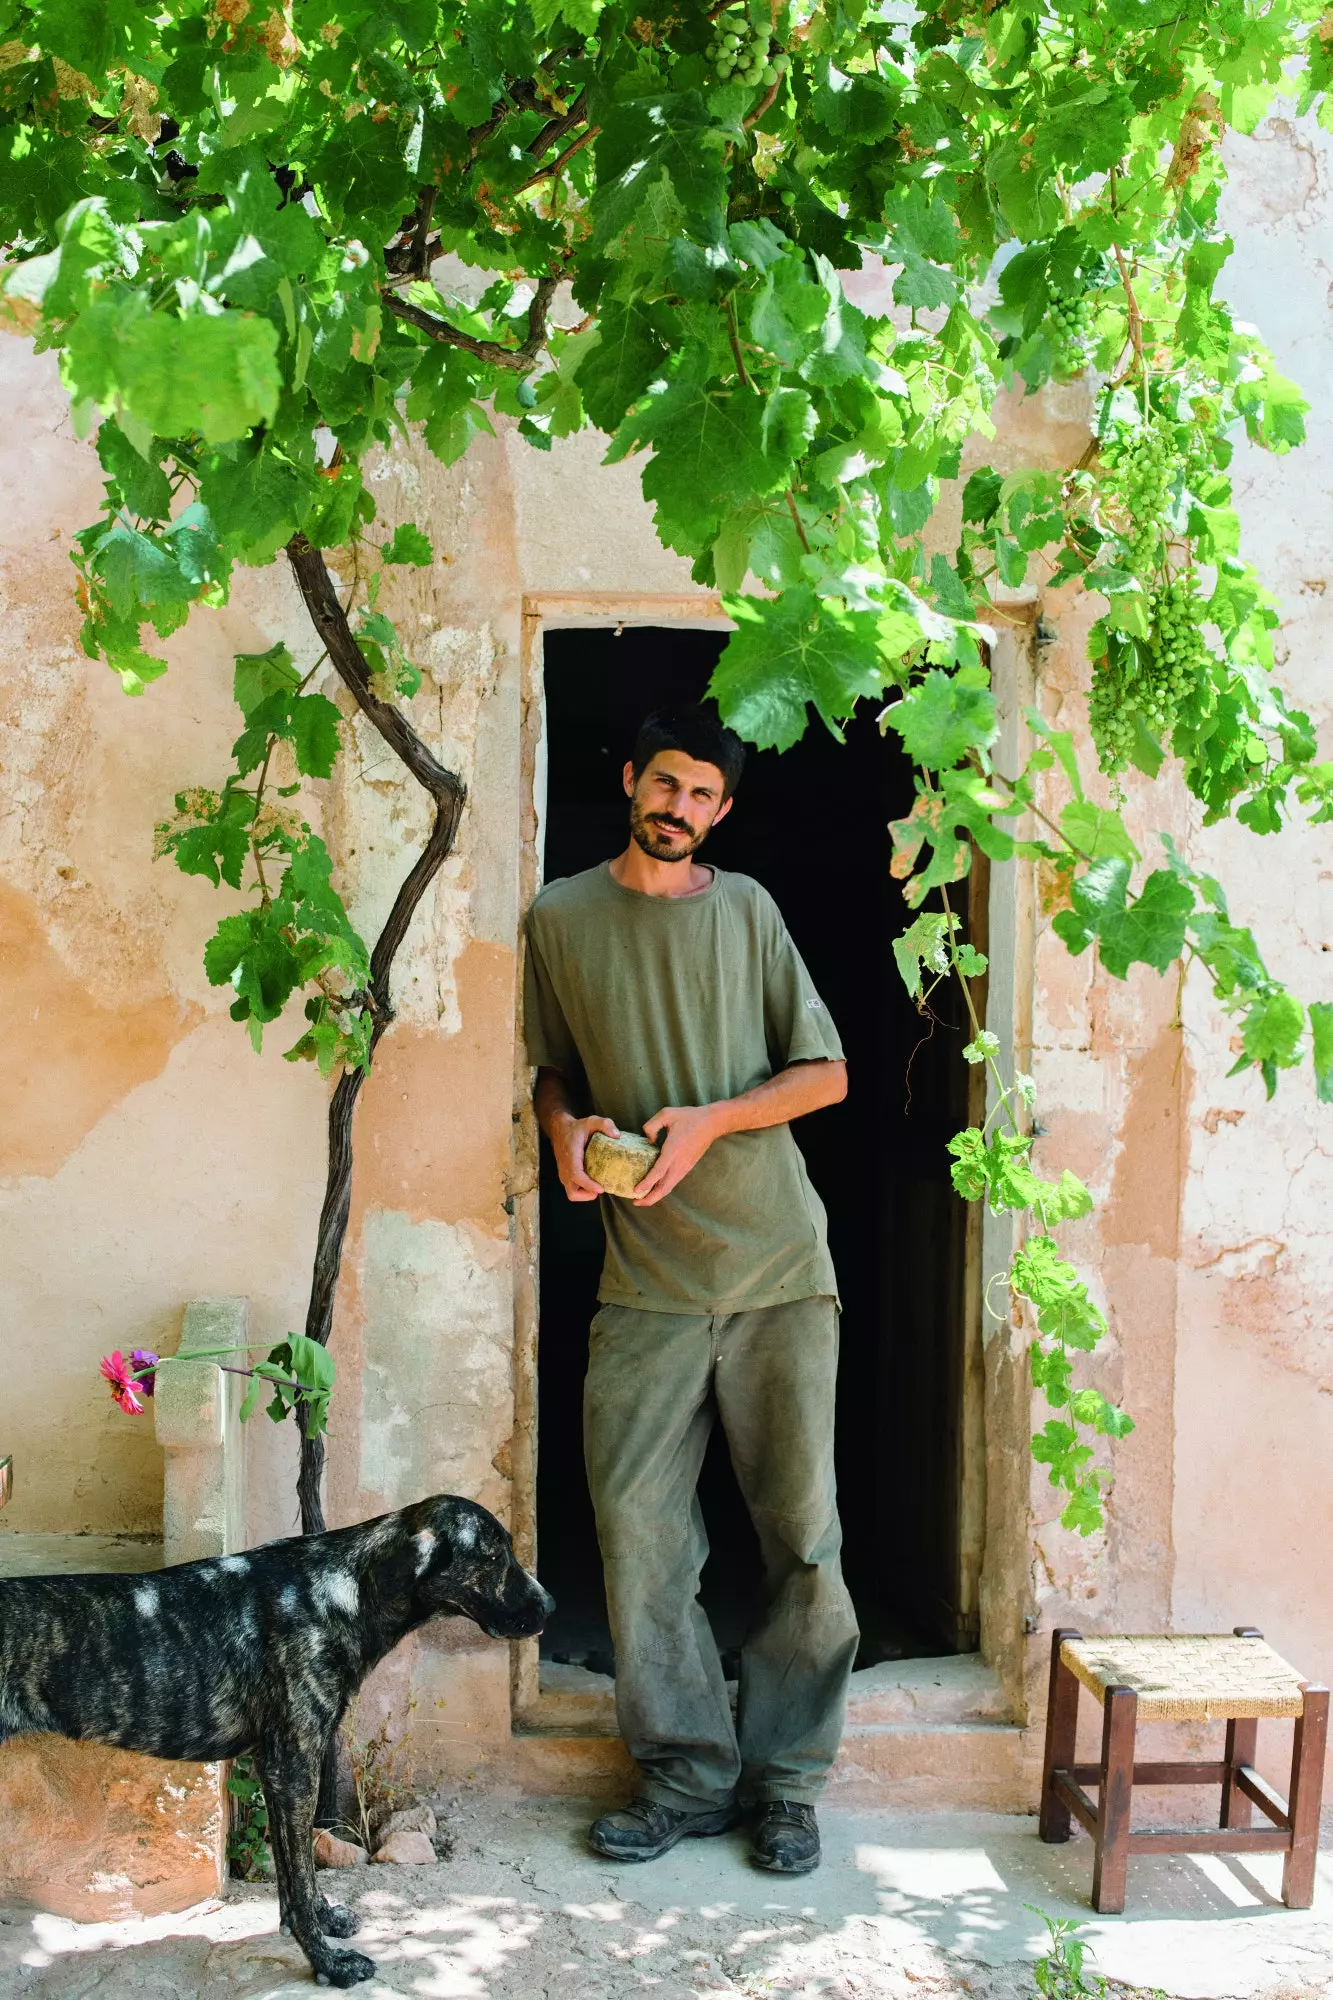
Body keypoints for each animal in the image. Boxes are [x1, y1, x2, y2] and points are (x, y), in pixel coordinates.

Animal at [0, 1496, 548, 1976]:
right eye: (494, 1556)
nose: (552, 1604)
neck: (342, 1592)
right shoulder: (294, 1766)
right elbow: (301, 1873)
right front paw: (327, 1961)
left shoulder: (276, 1770)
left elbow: (293, 1876)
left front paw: (323, 1921)